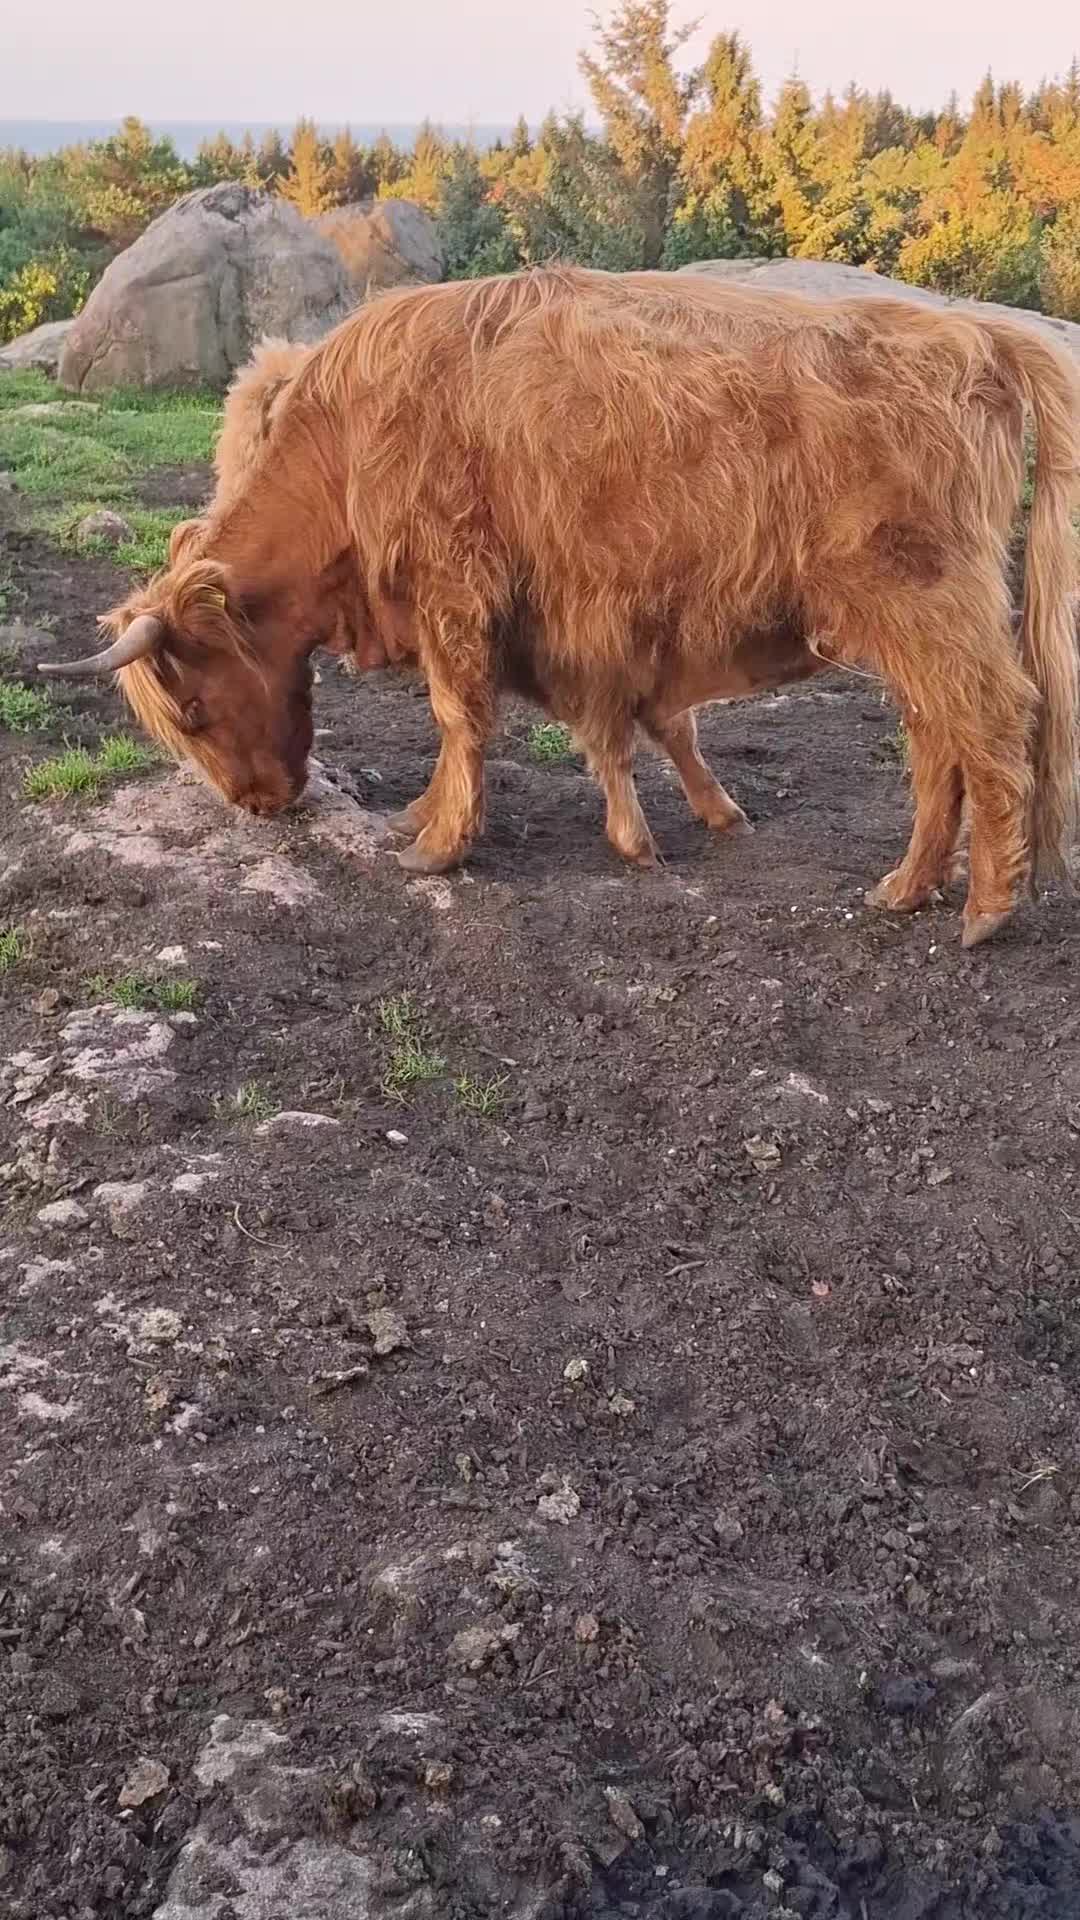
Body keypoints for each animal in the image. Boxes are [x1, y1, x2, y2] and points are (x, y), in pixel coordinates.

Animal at [42, 265, 1080, 947]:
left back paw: (984, 911)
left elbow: (459, 715)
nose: (258, 805)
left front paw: (439, 846)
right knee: (938, 739)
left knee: (991, 722)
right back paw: (905, 889)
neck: (346, 448)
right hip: (911, 625)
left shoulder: (457, 590)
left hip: (928, 602)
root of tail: (972, 336)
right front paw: (437, 822)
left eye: (192, 707)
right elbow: (602, 725)